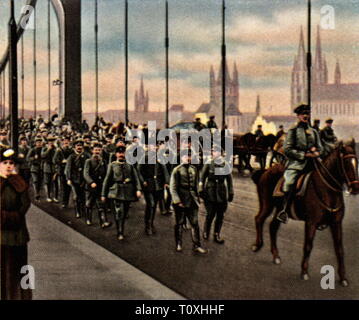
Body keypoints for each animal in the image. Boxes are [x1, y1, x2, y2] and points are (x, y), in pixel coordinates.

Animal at [252, 139, 358, 284]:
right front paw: (304, 272)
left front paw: (343, 278)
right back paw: (257, 245)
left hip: (279, 209)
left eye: (356, 162)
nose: (356, 188)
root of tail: (266, 171)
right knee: (259, 219)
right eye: (346, 163)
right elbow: (308, 246)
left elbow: (339, 249)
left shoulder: (336, 224)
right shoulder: (311, 223)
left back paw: (276, 256)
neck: (327, 191)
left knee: (273, 227)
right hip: (266, 205)